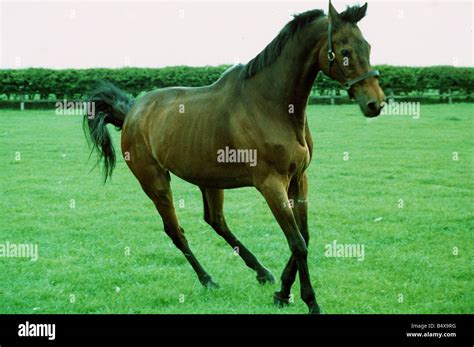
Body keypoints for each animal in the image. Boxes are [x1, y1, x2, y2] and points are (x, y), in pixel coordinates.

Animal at [82, 1, 386, 316]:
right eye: (345, 51)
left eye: (367, 46)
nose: (375, 103)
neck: (271, 105)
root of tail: (132, 111)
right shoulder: (271, 184)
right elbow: (297, 242)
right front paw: (310, 302)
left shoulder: (299, 179)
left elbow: (303, 237)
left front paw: (282, 292)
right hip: (155, 182)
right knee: (176, 231)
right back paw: (208, 279)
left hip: (209, 181)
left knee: (215, 221)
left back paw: (262, 272)